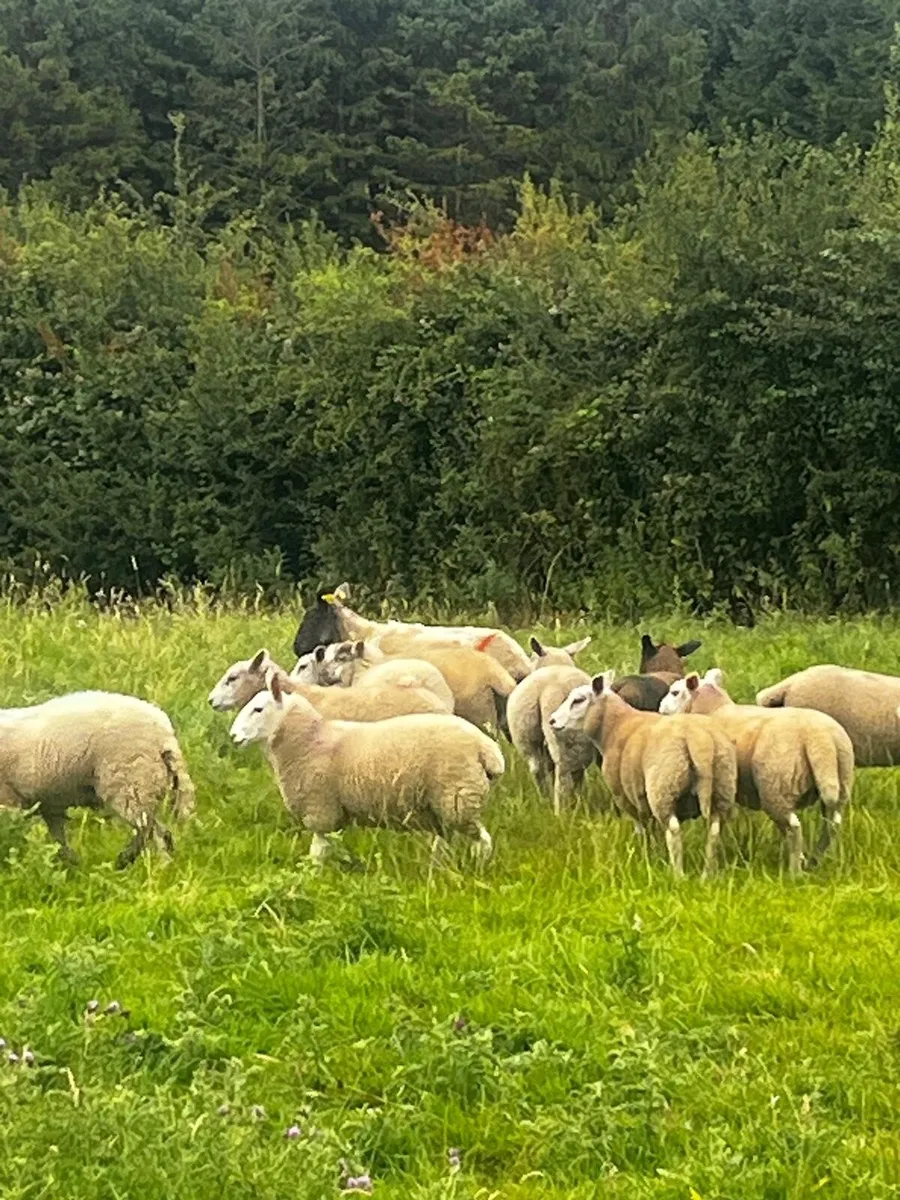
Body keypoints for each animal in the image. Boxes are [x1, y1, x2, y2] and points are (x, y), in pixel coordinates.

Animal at [0, 691, 195, 867]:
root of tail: (164, 734)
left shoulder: (9, 800)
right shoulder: (48, 805)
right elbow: (59, 843)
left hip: (130, 782)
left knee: (150, 832)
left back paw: (141, 864)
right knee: (159, 832)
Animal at [229, 670, 505, 865]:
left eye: (258, 709)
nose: (233, 736)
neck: (310, 740)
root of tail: (487, 749)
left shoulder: (320, 809)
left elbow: (317, 852)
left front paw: (313, 879)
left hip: (458, 798)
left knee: (483, 841)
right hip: (443, 804)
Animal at [507, 635, 596, 813]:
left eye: (532, 658)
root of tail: (548, 689)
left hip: (536, 737)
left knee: (548, 771)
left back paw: (555, 806)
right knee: (564, 771)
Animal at [548, 671, 736, 877]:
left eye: (578, 700)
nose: (552, 720)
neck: (615, 727)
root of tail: (698, 741)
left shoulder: (626, 795)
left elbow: (641, 827)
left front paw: (644, 852)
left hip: (663, 788)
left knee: (673, 830)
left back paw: (677, 874)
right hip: (723, 786)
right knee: (714, 830)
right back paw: (707, 875)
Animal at [663, 669, 854, 873]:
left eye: (675, 692)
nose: (661, 708)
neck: (712, 708)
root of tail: (820, 738)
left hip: (776, 786)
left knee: (794, 827)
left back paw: (795, 871)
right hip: (840, 782)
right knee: (832, 824)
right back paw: (814, 861)